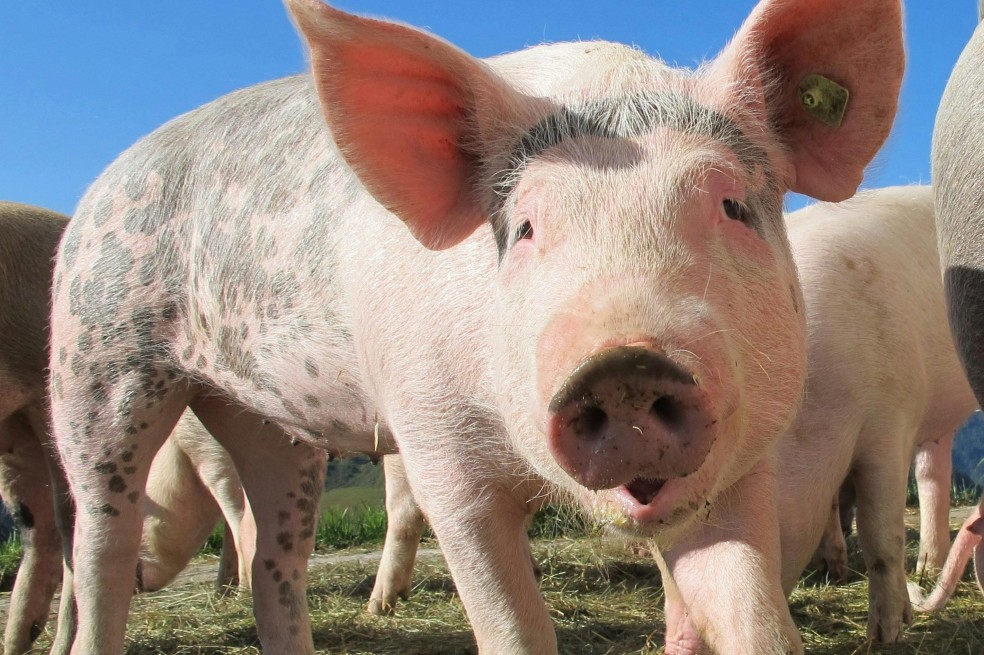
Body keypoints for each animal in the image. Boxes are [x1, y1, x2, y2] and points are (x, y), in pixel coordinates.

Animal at [48, 0, 903, 653]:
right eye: (523, 227)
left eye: (731, 205)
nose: (625, 365)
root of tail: (102, 184)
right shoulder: (437, 453)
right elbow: (512, 626)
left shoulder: (744, 462)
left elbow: (755, 617)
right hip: (98, 354)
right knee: (99, 545)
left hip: (269, 422)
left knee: (275, 559)